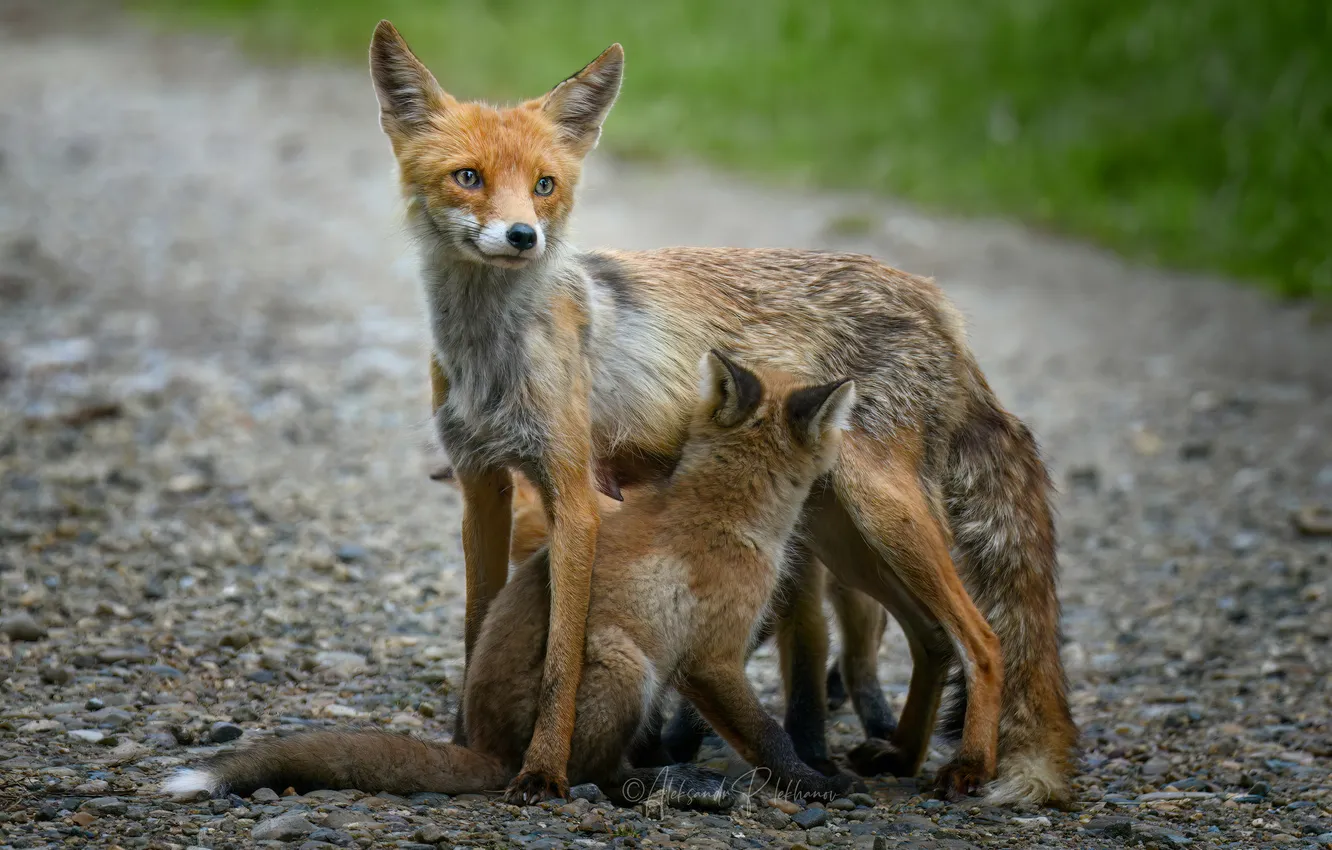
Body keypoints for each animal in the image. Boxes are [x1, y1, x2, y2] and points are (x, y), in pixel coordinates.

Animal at [164, 353, 861, 805]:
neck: (723, 507)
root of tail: (495, 751)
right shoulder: (712, 659)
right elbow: (767, 734)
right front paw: (814, 783)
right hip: (622, 663)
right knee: (597, 773)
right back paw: (655, 784)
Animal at [373, 19, 1077, 804]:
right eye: (468, 177)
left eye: (543, 187)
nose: (524, 238)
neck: (491, 356)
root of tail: (937, 304)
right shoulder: (483, 487)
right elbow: (477, 631)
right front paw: (466, 746)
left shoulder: (575, 496)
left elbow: (563, 657)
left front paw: (543, 771)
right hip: (841, 532)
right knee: (930, 638)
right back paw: (900, 753)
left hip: (883, 515)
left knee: (983, 639)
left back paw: (969, 763)